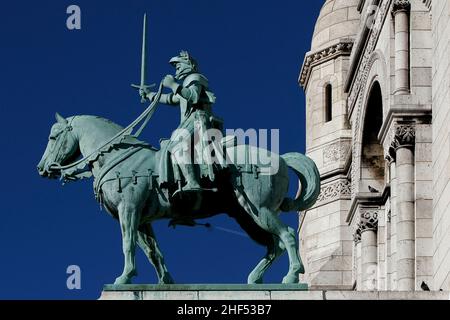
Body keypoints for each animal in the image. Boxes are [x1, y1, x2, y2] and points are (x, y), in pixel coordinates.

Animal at [37, 114, 320, 284]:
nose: (42, 168)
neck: (118, 157)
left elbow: (128, 244)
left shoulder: (129, 211)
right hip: (247, 217)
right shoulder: (142, 220)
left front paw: (124, 277)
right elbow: (153, 252)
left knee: (287, 236)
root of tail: (281, 158)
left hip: (260, 210)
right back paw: (255, 279)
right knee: (274, 245)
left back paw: (292, 276)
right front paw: (165, 281)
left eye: (52, 136)